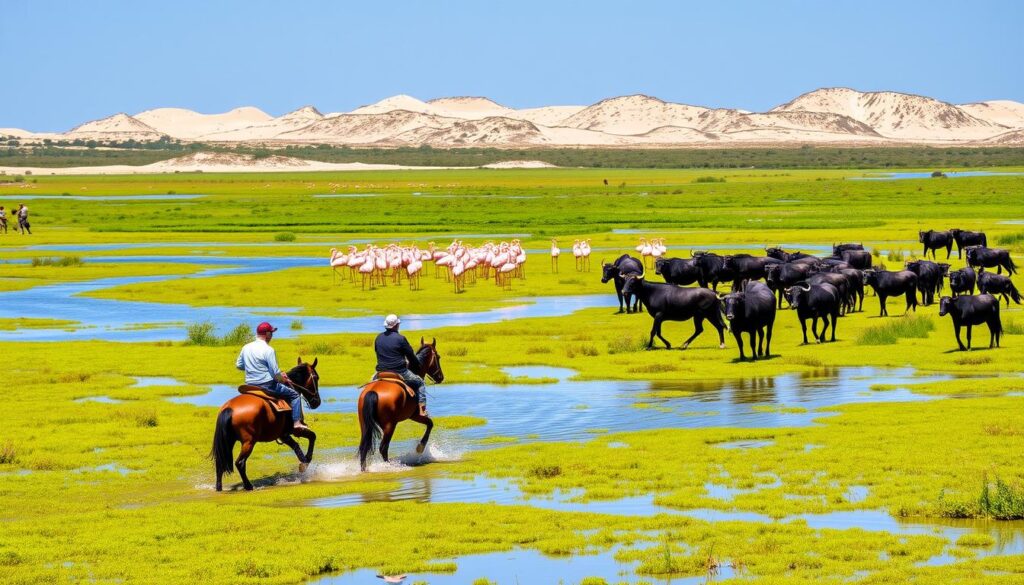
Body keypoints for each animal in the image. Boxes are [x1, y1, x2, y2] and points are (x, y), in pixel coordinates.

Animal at [208, 358, 317, 491]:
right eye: (316, 377)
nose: (317, 402)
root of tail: (229, 409)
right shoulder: (294, 430)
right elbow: (312, 437)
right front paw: (305, 463)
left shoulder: (283, 435)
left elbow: (296, 445)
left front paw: (303, 463)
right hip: (249, 442)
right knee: (240, 463)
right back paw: (248, 486)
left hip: (229, 440)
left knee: (220, 463)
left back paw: (219, 487)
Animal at [356, 338, 444, 471]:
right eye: (438, 357)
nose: (440, 377)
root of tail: (373, 392)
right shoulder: (415, 415)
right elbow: (430, 424)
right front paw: (420, 448)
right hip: (390, 425)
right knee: (383, 448)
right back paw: (389, 466)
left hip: (364, 424)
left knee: (364, 447)